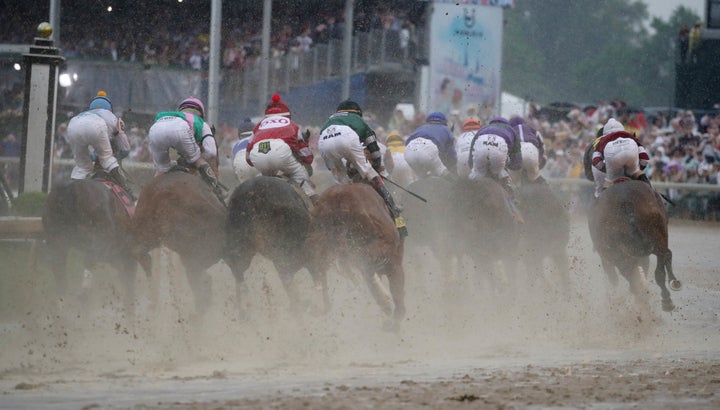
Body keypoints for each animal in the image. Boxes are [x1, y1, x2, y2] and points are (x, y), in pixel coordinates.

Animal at [43, 177, 146, 314]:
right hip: (99, 241)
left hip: (58, 243)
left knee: (61, 275)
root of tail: (71, 189)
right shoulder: (125, 256)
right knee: (89, 261)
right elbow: (129, 284)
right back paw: (84, 293)